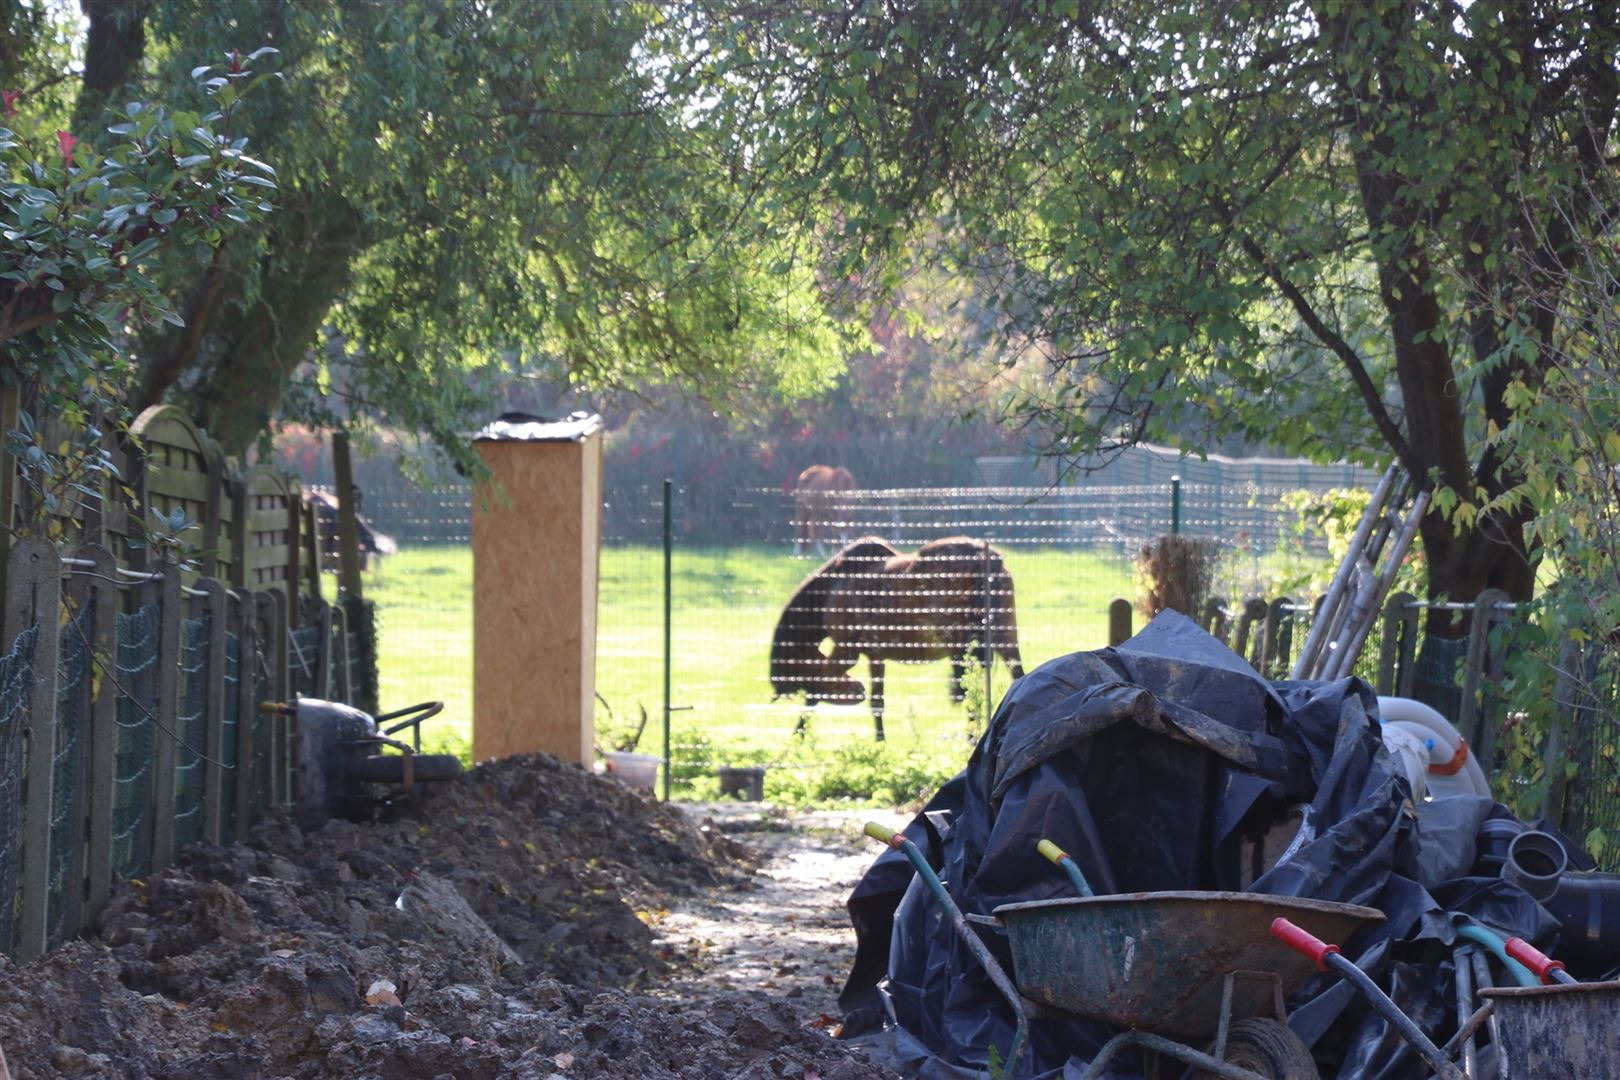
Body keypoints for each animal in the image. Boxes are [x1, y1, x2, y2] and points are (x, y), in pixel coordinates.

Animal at [771, 537, 1023, 738]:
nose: (857, 689)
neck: (835, 584)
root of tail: (985, 557)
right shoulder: (875, 655)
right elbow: (877, 702)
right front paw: (880, 744)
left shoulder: (846, 650)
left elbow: (816, 691)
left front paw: (797, 738)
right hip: (1005, 639)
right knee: (1017, 677)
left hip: (961, 648)